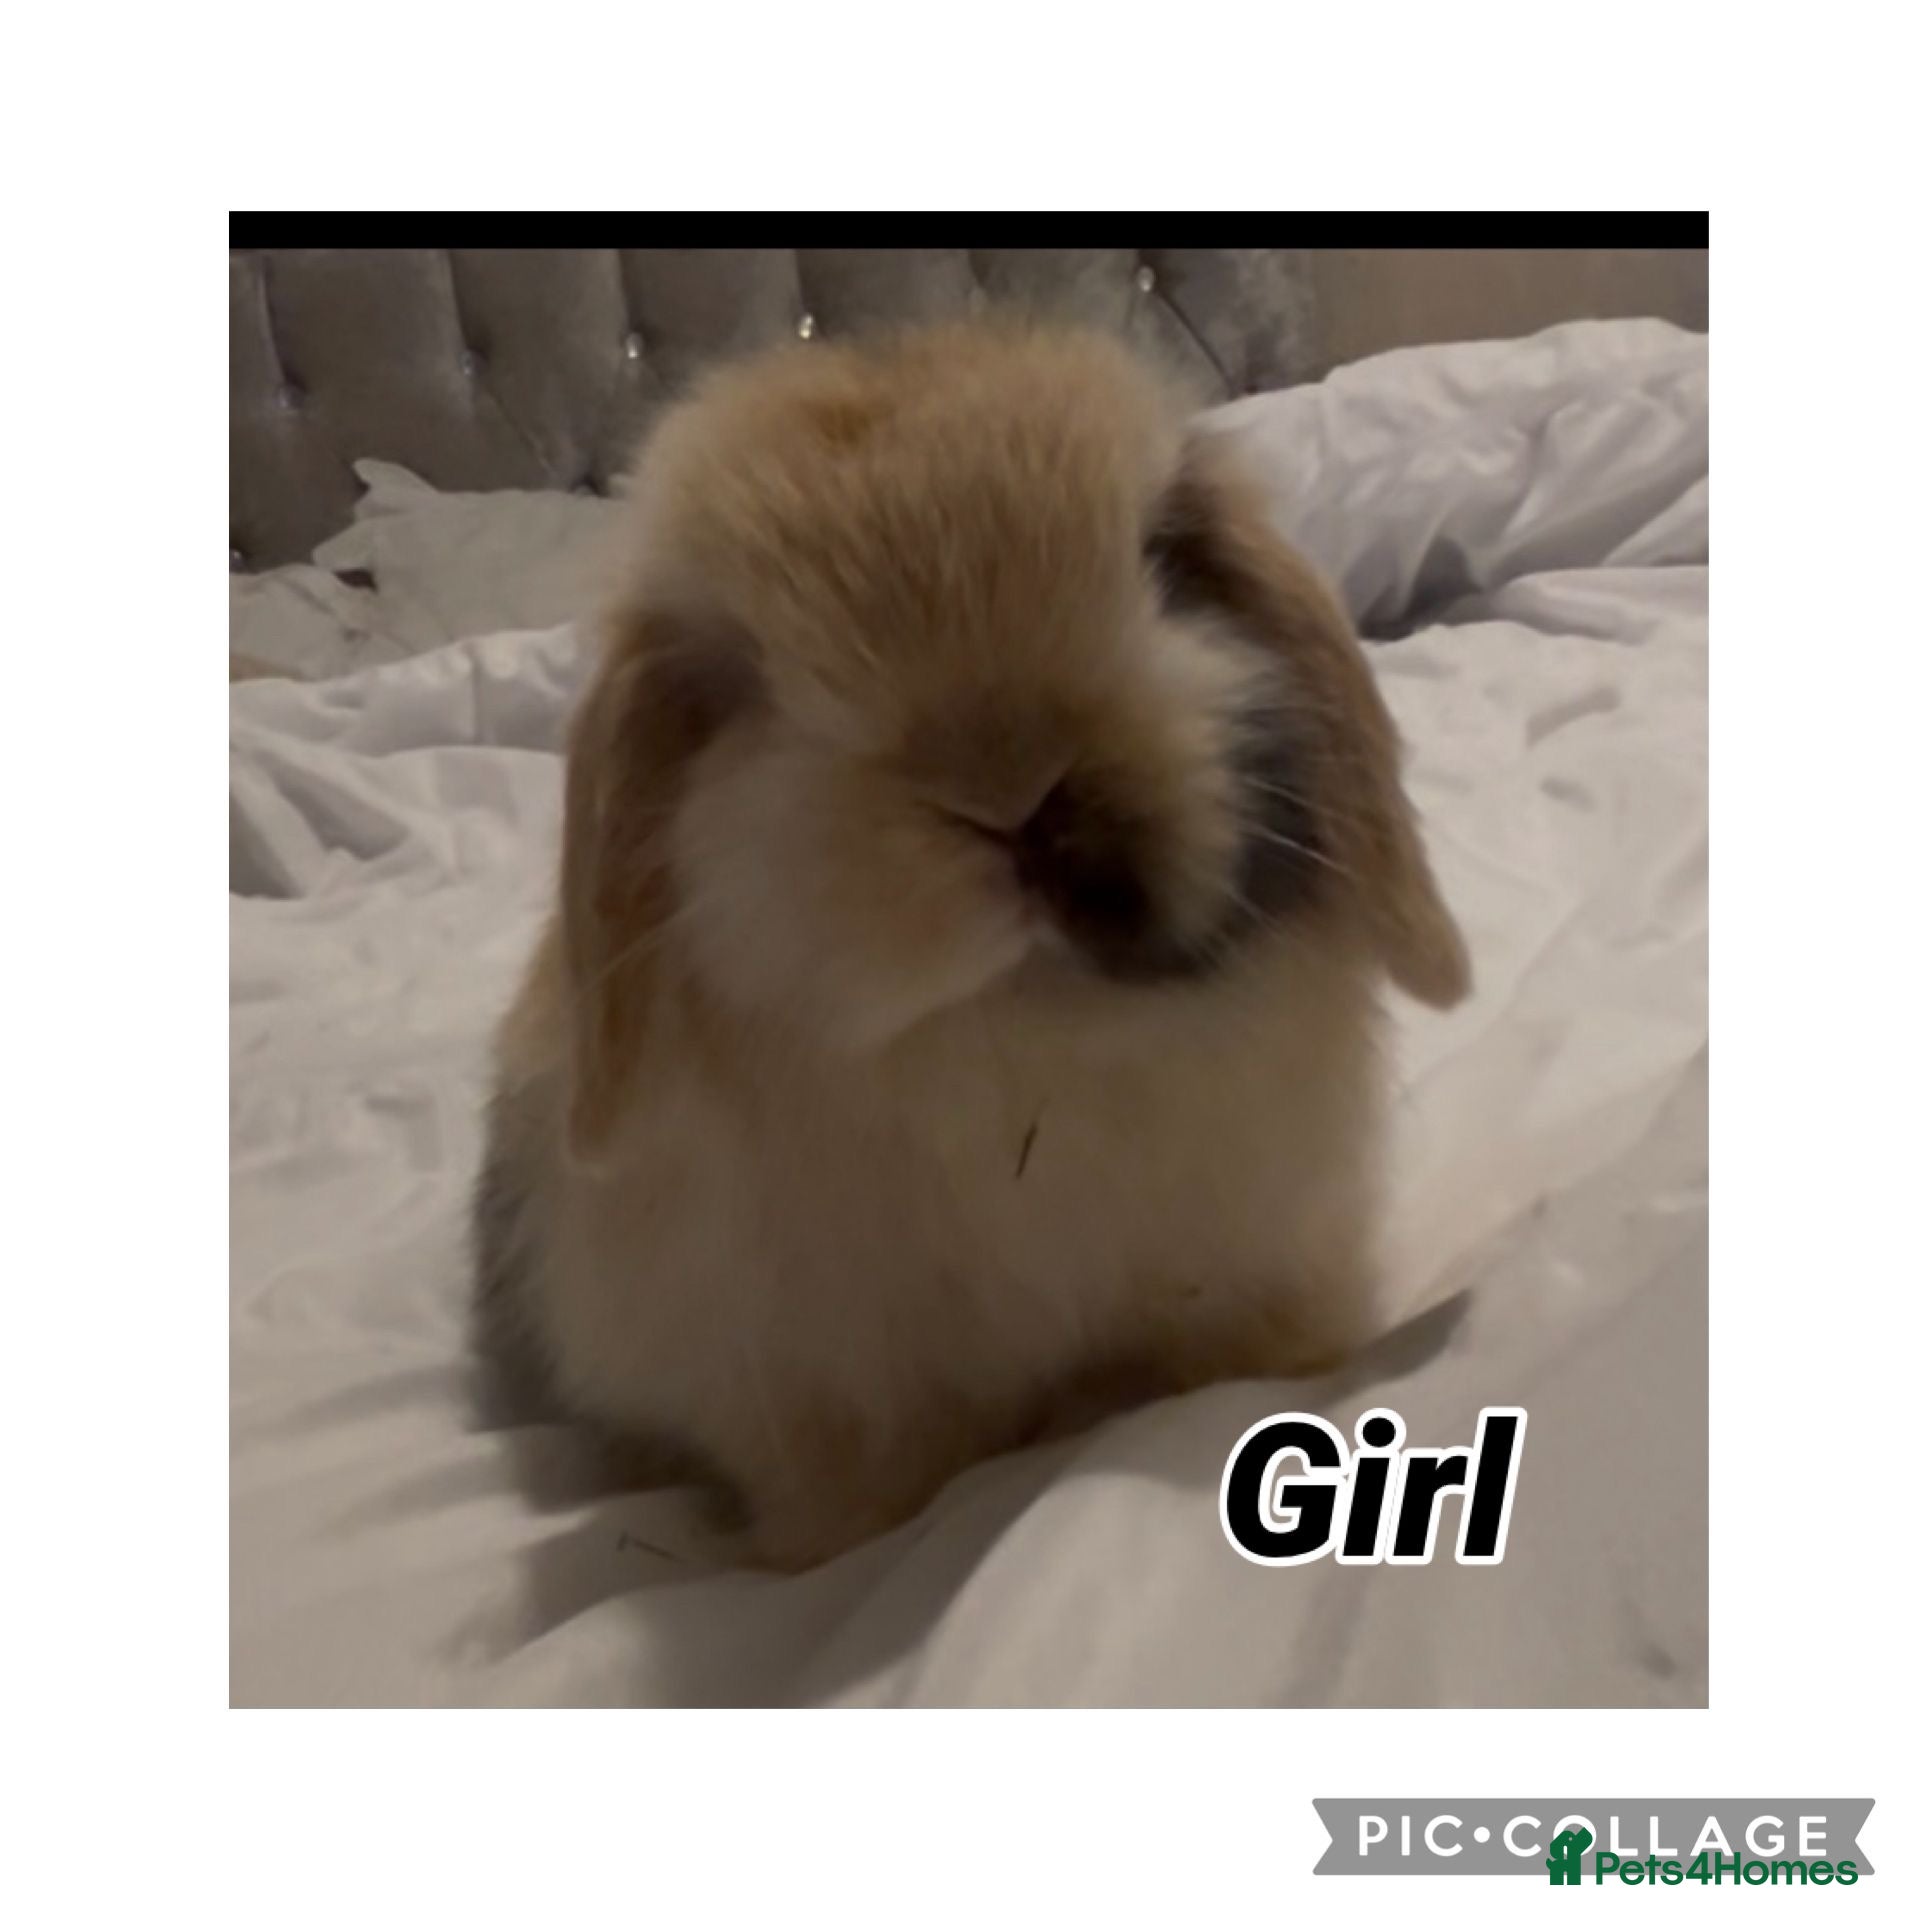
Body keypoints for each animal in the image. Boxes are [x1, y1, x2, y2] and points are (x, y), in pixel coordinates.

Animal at [473, 320, 1470, 1571]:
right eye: (744, 678)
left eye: (1162, 562)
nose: (1013, 791)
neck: (1026, 1032)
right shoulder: (808, 1395)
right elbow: (863, 1506)